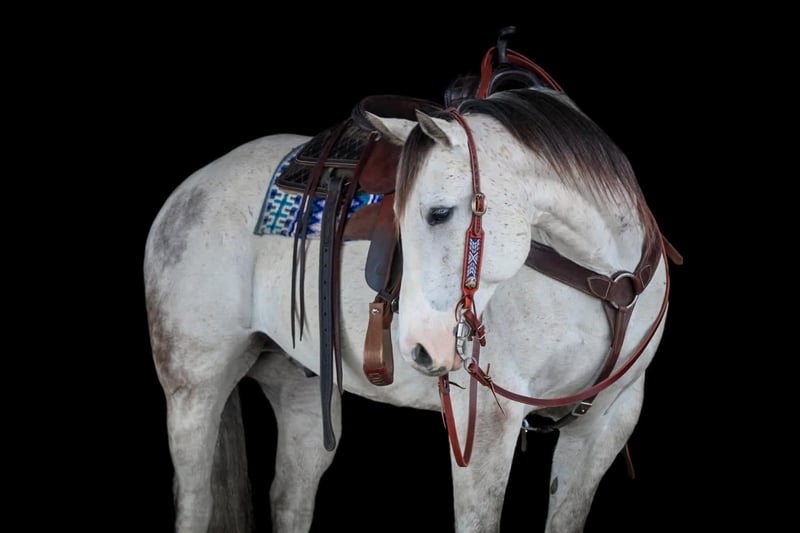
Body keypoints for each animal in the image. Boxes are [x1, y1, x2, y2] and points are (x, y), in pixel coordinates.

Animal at [144, 37, 680, 532]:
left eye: (438, 213)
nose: (419, 349)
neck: (607, 279)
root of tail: (188, 191)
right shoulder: (487, 427)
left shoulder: (605, 424)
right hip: (194, 387)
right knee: (195, 503)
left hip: (301, 386)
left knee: (289, 499)